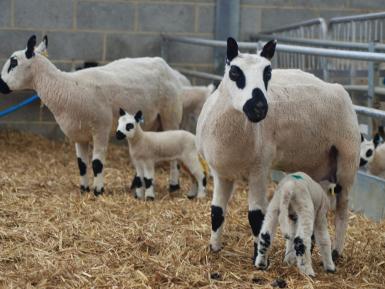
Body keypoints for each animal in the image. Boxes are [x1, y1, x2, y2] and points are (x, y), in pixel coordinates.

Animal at [0, 35, 184, 195]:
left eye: (14, 62)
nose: (0, 85)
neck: (67, 88)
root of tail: (164, 64)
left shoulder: (101, 129)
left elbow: (97, 164)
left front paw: (98, 191)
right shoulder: (79, 134)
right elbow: (81, 164)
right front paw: (84, 189)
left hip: (170, 114)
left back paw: (174, 185)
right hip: (149, 122)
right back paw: (136, 184)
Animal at [195, 37, 360, 264]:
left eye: (268, 73)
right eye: (235, 72)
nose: (259, 107)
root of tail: (337, 88)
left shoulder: (259, 168)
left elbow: (256, 216)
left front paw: (258, 258)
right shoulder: (220, 172)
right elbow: (216, 212)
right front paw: (214, 248)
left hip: (348, 155)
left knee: (342, 208)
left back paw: (335, 252)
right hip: (316, 165)